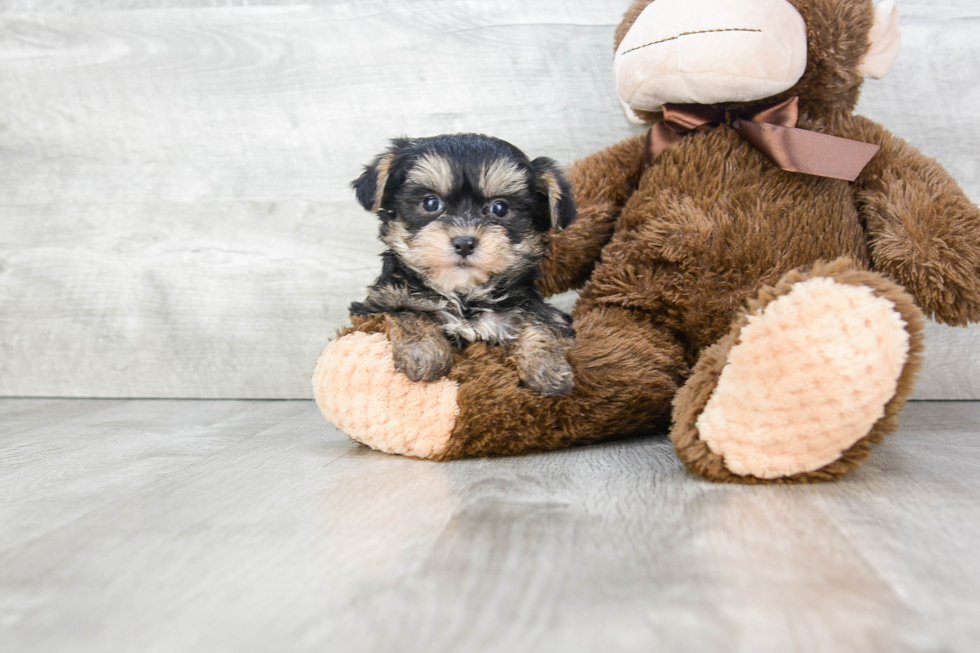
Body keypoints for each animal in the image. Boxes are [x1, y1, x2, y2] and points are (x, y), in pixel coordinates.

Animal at [352, 133, 580, 394]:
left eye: (500, 208)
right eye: (430, 203)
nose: (464, 243)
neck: (463, 294)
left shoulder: (532, 307)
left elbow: (540, 322)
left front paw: (548, 367)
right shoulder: (379, 302)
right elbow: (407, 312)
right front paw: (423, 352)